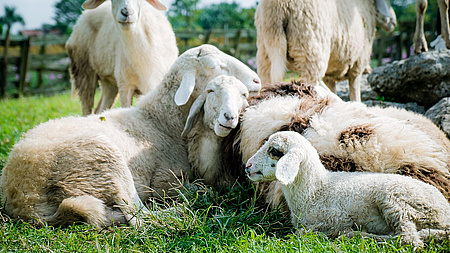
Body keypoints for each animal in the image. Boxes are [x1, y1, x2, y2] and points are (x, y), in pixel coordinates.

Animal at [0, 44, 260, 228]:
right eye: (217, 66)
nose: (257, 80)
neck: (159, 120)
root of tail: (23, 199)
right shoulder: (164, 180)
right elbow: (201, 189)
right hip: (104, 160)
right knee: (139, 216)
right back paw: (179, 212)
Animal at [246, 131, 450, 248]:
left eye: (274, 150)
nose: (247, 166)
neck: (316, 190)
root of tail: (445, 212)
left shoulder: (335, 218)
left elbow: (305, 233)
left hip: (396, 200)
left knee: (408, 239)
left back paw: (356, 235)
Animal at [255, 0, 396, 101]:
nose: (393, 22)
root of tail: (278, 8)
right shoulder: (358, 61)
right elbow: (355, 91)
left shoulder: (331, 73)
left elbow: (333, 89)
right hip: (310, 48)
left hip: (265, 50)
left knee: (266, 78)